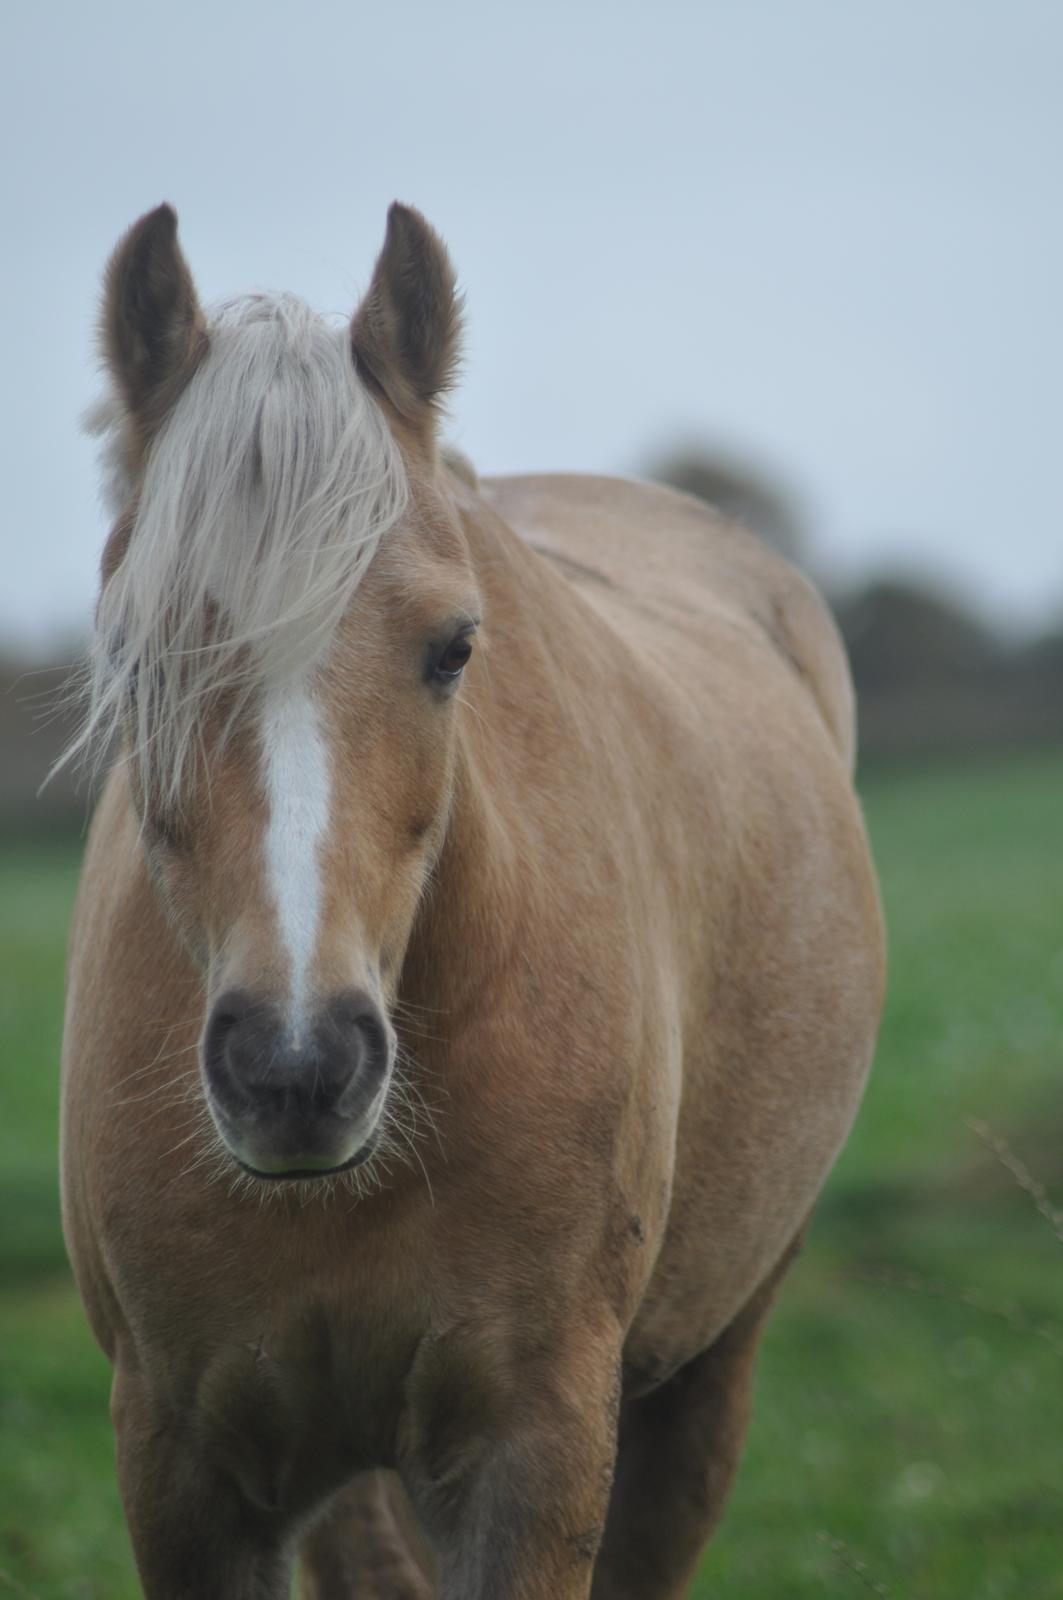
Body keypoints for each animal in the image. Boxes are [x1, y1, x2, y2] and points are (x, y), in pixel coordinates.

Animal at [60, 203, 890, 1600]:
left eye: (455, 648)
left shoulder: (534, 1445)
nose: (295, 1065)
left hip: (703, 1374)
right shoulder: (180, 1464)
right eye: (131, 656)